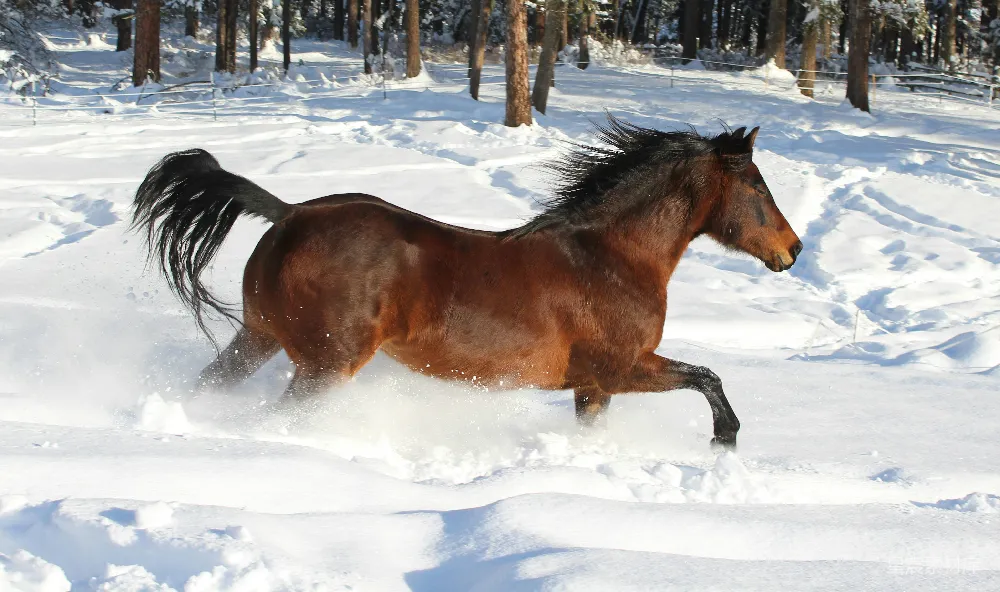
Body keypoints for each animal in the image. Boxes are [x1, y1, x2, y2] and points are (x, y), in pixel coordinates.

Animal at [132, 116, 802, 450]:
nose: (792, 250)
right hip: (324, 364)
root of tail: (290, 213)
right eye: (757, 186)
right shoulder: (621, 368)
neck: (611, 256)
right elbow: (709, 377)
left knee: (210, 386)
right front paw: (725, 441)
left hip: (259, 338)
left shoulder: (593, 387)